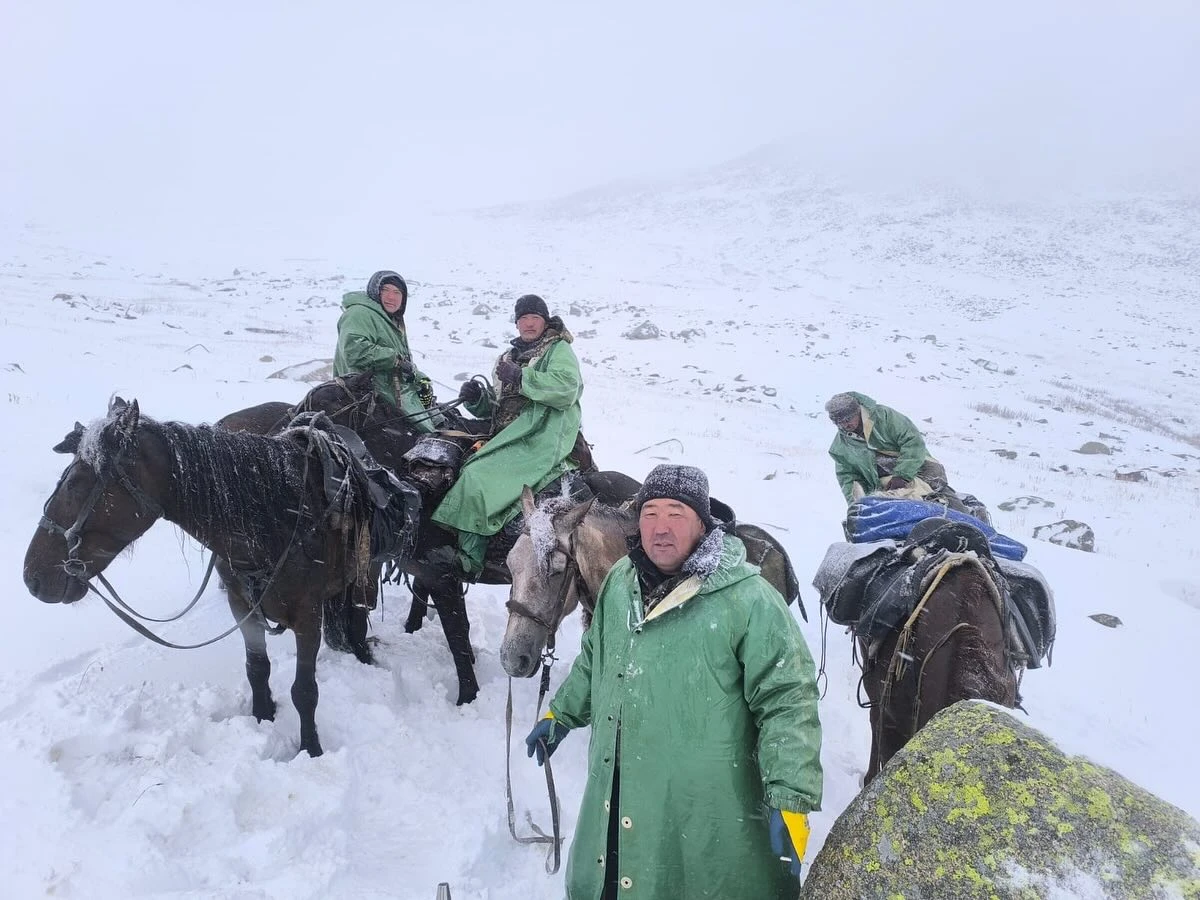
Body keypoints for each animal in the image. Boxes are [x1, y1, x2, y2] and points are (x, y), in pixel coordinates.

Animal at [22, 397, 387, 757]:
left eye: (75, 483)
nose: (31, 578)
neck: (280, 522)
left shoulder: (308, 618)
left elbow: (305, 690)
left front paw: (311, 749)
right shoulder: (242, 606)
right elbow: (257, 669)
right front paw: (262, 718)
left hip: (366, 574)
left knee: (357, 618)